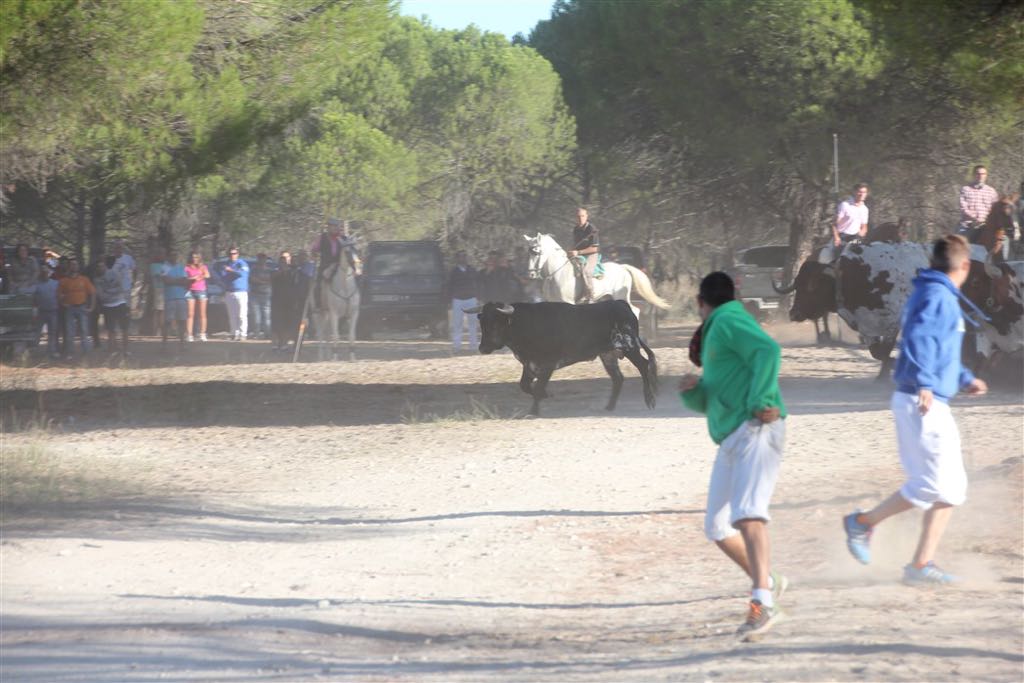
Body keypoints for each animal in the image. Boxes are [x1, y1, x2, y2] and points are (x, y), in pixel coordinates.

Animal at [473, 301, 655, 417]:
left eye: (495, 324)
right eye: (482, 324)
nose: (482, 348)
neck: (525, 324)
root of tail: (622, 304)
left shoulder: (547, 365)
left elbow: (538, 388)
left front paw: (534, 411)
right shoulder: (530, 365)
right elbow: (525, 386)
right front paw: (546, 396)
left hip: (630, 348)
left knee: (644, 365)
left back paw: (650, 401)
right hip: (608, 355)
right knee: (618, 378)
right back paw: (609, 407)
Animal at [524, 232, 667, 321]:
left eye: (536, 252)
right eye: (529, 252)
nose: (531, 274)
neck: (557, 273)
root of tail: (623, 267)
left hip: (621, 296)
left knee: (635, 310)